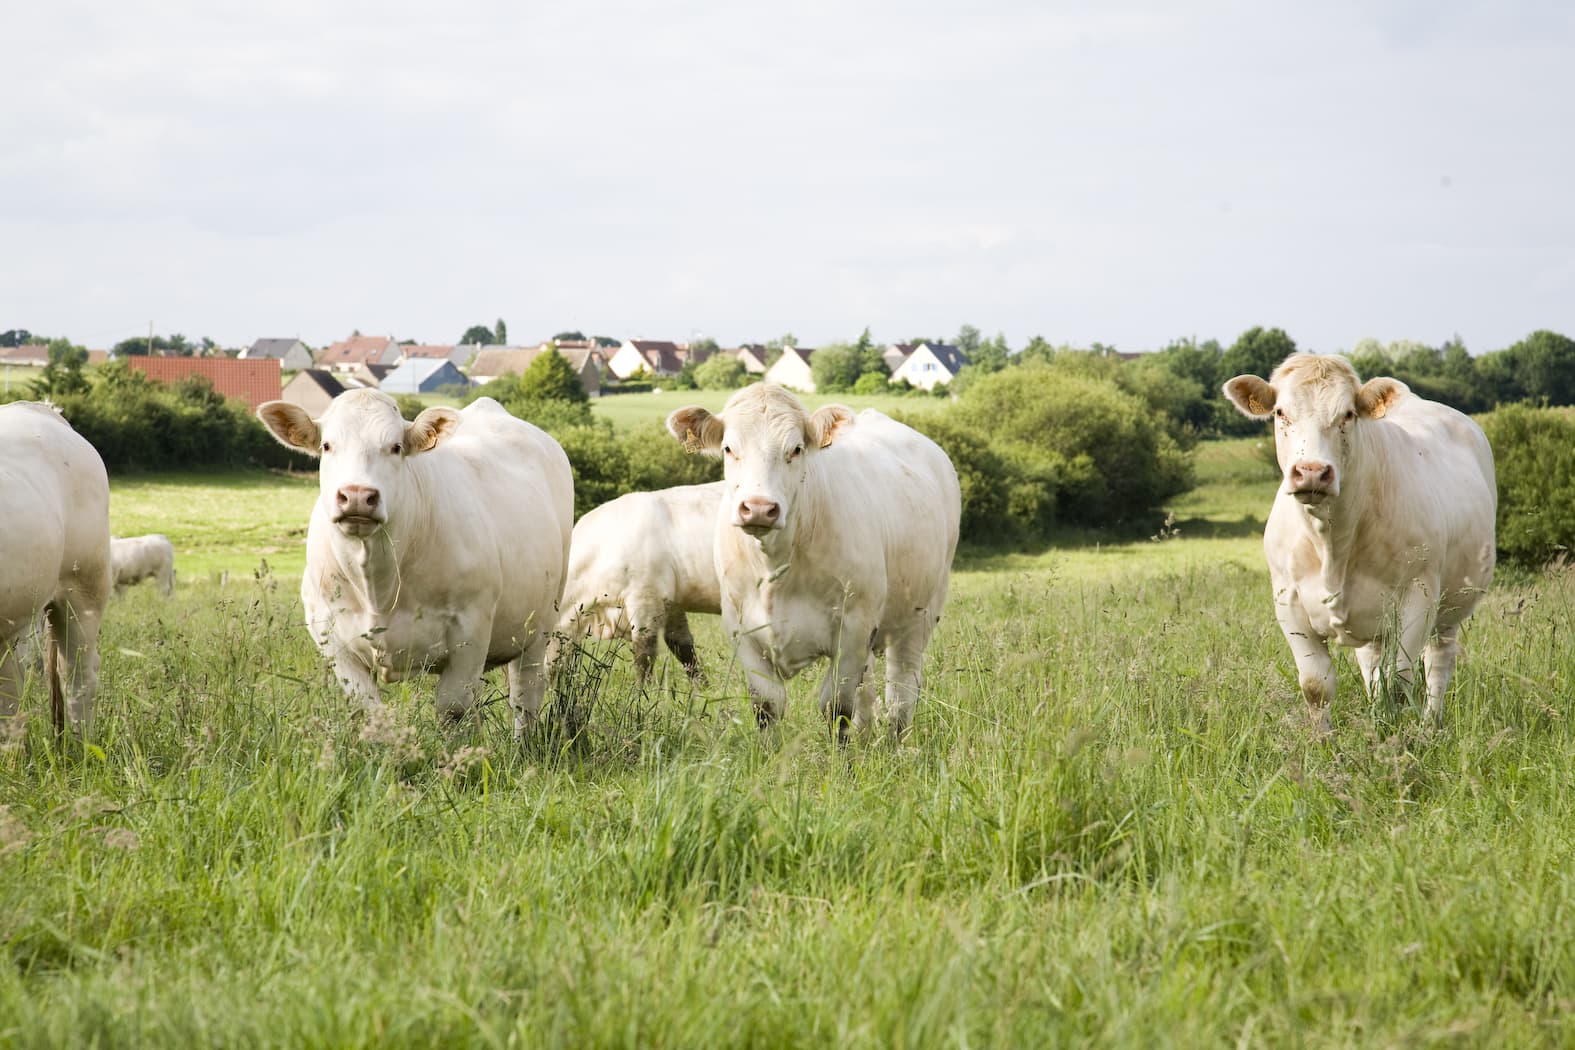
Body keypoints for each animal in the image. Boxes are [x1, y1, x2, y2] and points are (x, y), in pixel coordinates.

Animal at [255, 390, 576, 736]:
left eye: (396, 447)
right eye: (327, 445)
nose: (357, 496)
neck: (378, 586)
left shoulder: (471, 630)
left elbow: (453, 710)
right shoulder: (331, 637)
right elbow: (370, 710)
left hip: (540, 626)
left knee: (525, 695)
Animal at [554, 481, 724, 683]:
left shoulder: (646, 598)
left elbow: (644, 655)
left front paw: (641, 690)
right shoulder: (672, 602)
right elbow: (683, 648)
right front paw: (702, 687)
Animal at [667, 384, 957, 739]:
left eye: (796, 448)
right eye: (728, 448)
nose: (759, 508)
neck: (776, 568)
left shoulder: (853, 630)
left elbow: (837, 707)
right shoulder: (743, 632)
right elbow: (767, 707)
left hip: (921, 614)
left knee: (902, 689)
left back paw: (894, 741)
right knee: (869, 689)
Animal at [1222, 357, 1493, 727]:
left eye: (1348, 414)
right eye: (1280, 412)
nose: (1311, 471)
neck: (1331, 543)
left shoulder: (1419, 595)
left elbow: (1401, 681)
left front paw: (1396, 736)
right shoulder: (1287, 601)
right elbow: (1316, 686)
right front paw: (1324, 741)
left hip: (1450, 607)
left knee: (1438, 662)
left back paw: (1429, 726)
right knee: (1374, 668)